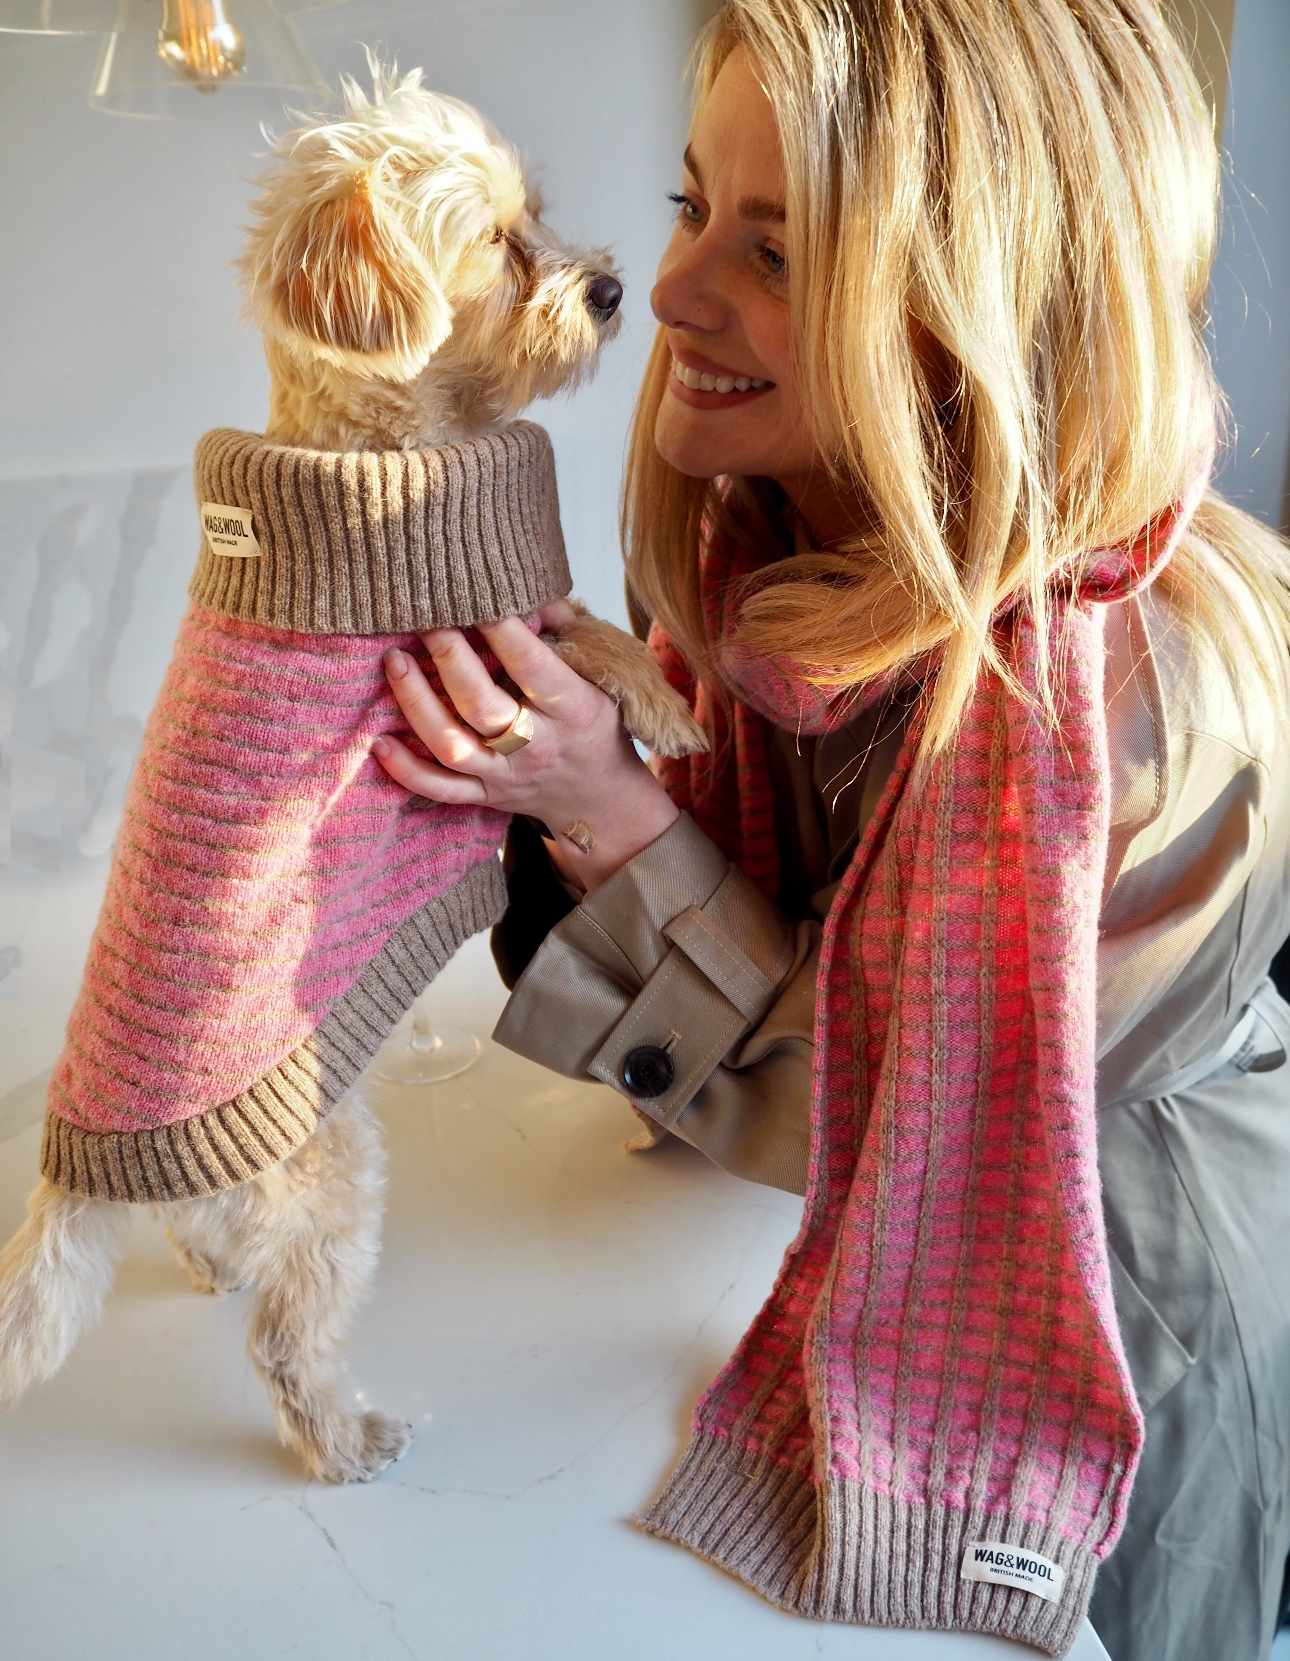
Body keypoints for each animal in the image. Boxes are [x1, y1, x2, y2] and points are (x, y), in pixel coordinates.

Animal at [0, 68, 703, 1494]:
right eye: (493, 243)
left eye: (538, 218)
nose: (611, 286)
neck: (381, 459)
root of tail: (75, 1169)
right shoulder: (480, 637)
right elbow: (588, 632)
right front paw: (664, 699)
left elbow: (585, 625)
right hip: (326, 1166)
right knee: (286, 1335)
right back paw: (340, 1434)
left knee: (202, 1228)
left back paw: (208, 1261)